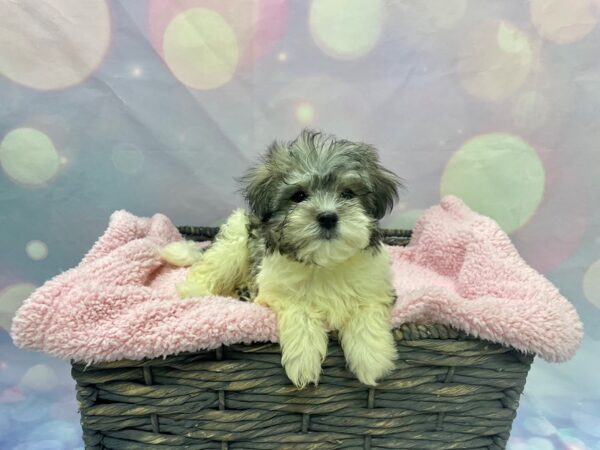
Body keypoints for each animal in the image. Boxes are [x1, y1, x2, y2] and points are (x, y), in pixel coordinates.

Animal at [161, 129, 404, 386]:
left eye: (348, 193)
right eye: (299, 196)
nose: (328, 217)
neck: (323, 264)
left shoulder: (376, 287)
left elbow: (366, 313)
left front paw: (371, 358)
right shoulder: (278, 291)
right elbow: (301, 313)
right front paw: (304, 360)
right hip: (233, 243)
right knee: (208, 270)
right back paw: (196, 292)